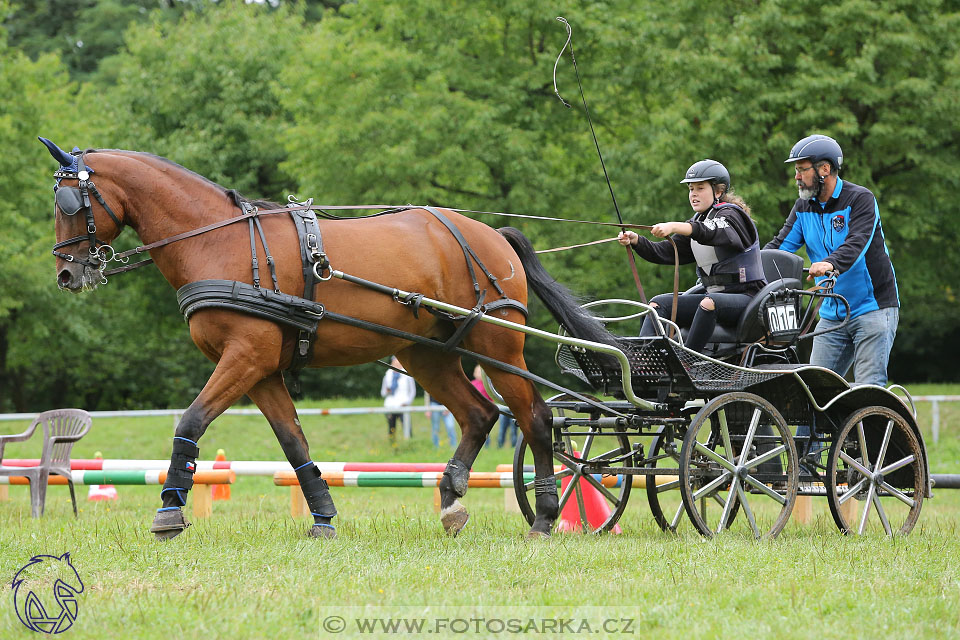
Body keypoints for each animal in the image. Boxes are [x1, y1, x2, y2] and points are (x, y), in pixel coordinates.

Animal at [39, 139, 616, 540]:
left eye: (68, 201)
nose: (66, 274)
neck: (220, 242)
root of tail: (492, 235)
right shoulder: (261, 370)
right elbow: (294, 442)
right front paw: (323, 516)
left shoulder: (243, 358)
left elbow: (191, 421)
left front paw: (168, 510)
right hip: (427, 353)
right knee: (480, 414)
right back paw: (452, 501)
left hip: (496, 344)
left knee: (534, 419)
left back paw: (544, 517)